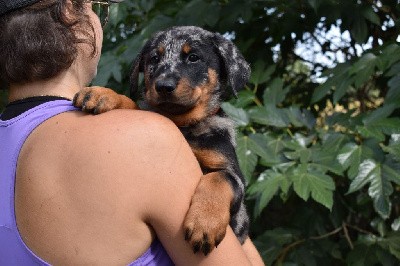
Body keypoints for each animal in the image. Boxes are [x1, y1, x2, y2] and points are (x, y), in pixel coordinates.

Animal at [72, 25, 250, 256]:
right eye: (154, 58)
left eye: (193, 57)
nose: (164, 86)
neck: (181, 125)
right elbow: (135, 106)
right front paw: (105, 94)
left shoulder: (234, 174)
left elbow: (218, 180)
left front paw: (204, 222)